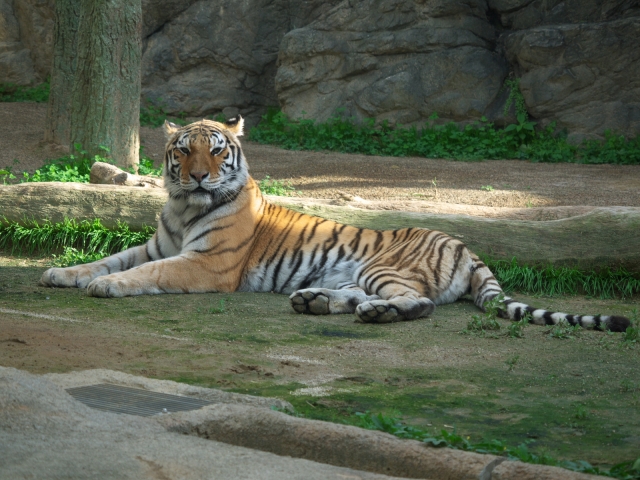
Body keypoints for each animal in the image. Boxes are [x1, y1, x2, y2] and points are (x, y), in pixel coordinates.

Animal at [38, 117, 632, 332]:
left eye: (217, 150)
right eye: (183, 151)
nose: (201, 176)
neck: (184, 208)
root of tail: (464, 244)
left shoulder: (204, 265)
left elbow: (142, 275)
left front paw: (106, 287)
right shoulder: (156, 245)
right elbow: (109, 258)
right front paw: (61, 274)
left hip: (383, 268)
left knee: (417, 304)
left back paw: (371, 314)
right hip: (358, 274)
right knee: (362, 296)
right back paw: (314, 301)